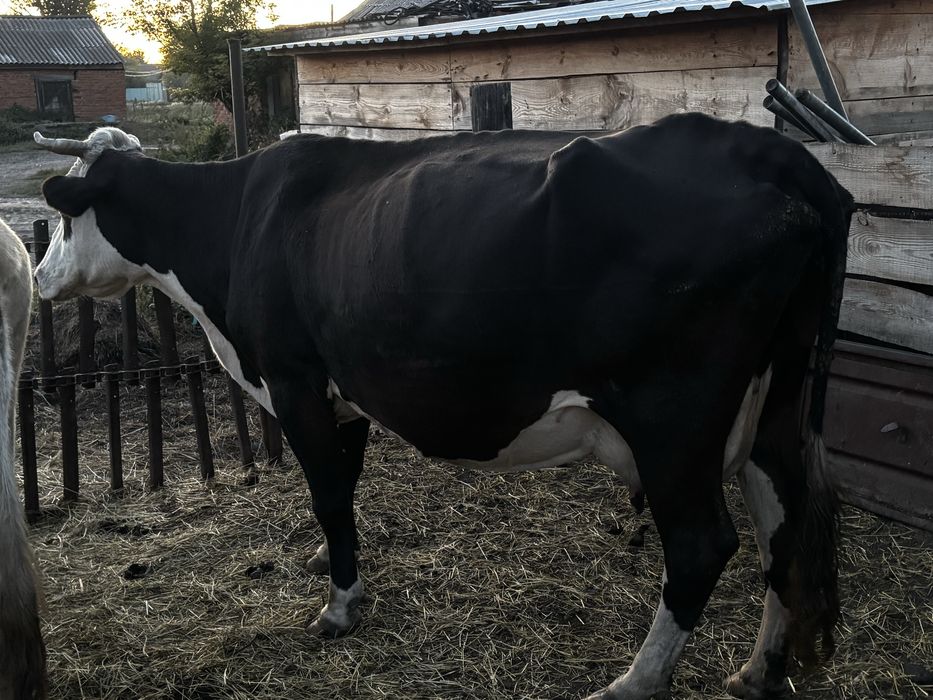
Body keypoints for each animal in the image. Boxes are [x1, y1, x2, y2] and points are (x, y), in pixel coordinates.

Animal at [33, 113, 853, 700]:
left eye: (69, 218)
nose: (38, 277)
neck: (238, 223)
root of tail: (766, 150)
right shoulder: (344, 390)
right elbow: (345, 490)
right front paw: (335, 570)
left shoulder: (295, 381)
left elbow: (327, 493)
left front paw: (338, 607)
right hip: (773, 406)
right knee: (783, 524)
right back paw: (761, 671)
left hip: (671, 420)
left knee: (701, 545)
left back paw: (633, 684)